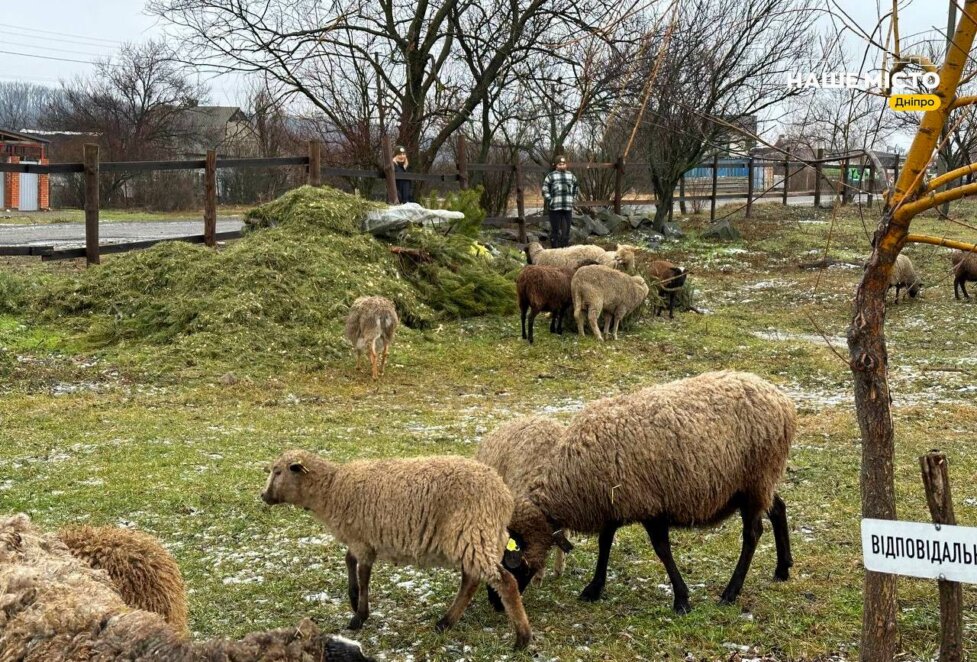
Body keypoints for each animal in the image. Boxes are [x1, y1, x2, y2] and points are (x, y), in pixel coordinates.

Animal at [260, 448, 528, 652]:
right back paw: (445, 622)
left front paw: (359, 616)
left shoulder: (362, 541)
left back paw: (522, 638)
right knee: (471, 581)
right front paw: (353, 597)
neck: (332, 489)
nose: (263, 495)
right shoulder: (361, 539)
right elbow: (349, 561)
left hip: (473, 532)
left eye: (278, 471)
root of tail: (504, 496)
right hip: (477, 536)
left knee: (504, 582)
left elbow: (363, 575)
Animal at [504, 370, 792, 616]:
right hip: (759, 483)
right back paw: (783, 569)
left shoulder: (649, 505)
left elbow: (662, 549)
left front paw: (681, 600)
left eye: (510, 562)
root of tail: (783, 402)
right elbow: (605, 542)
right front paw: (594, 588)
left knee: (752, 533)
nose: (499, 606)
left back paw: (730, 593)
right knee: (778, 507)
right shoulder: (614, 502)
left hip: (755, 479)